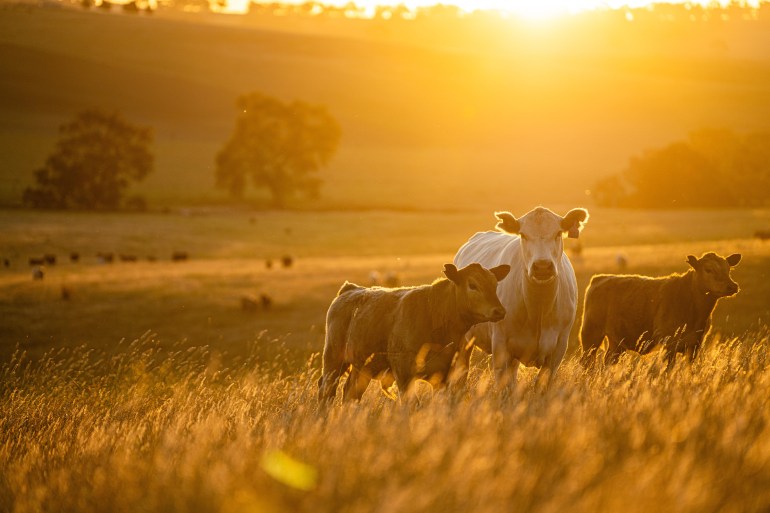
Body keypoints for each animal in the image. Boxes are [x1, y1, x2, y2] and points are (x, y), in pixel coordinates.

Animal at [318, 262, 510, 403]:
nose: (499, 311)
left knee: (350, 392)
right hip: (333, 359)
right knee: (326, 390)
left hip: (362, 367)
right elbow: (412, 404)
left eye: (494, 284)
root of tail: (350, 289)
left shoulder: (448, 376)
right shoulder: (404, 373)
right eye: (472, 285)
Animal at [454, 207, 590, 390]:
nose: (542, 266)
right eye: (523, 235)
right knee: (461, 371)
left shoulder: (558, 349)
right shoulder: (501, 347)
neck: (538, 307)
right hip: (464, 340)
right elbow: (504, 387)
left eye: (558, 233)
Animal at [580, 252, 741, 368]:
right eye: (708, 269)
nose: (732, 286)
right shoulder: (669, 344)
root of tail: (600, 278)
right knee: (587, 362)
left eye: (728, 269)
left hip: (616, 342)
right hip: (590, 336)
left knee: (608, 361)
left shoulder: (695, 345)